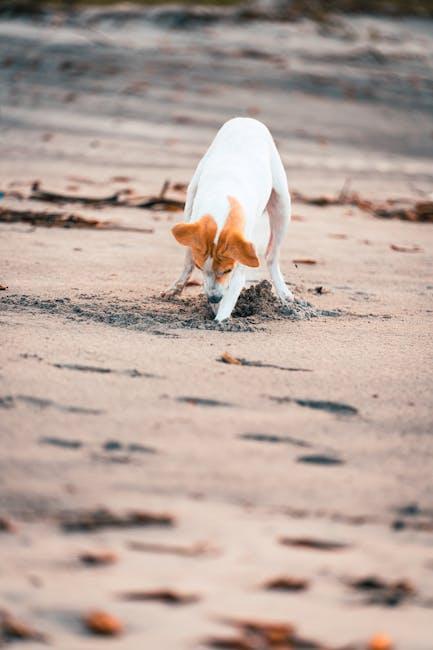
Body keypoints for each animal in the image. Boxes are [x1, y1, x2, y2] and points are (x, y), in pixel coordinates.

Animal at [163, 117, 294, 322]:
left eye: (227, 270)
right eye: (201, 268)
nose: (214, 298)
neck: (221, 205)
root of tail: (246, 119)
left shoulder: (240, 262)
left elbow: (230, 295)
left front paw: (220, 320)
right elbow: (195, 267)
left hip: (282, 206)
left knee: (272, 256)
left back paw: (283, 292)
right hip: (190, 199)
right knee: (187, 259)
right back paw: (176, 287)